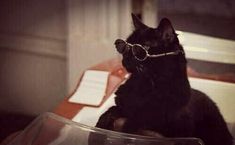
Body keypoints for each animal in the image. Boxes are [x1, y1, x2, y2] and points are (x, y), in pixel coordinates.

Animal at [89, 14, 233, 145]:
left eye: (142, 48)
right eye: (124, 46)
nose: (125, 57)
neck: (144, 85)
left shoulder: (175, 127)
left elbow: (135, 122)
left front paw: (126, 135)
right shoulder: (122, 107)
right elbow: (110, 111)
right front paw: (96, 131)